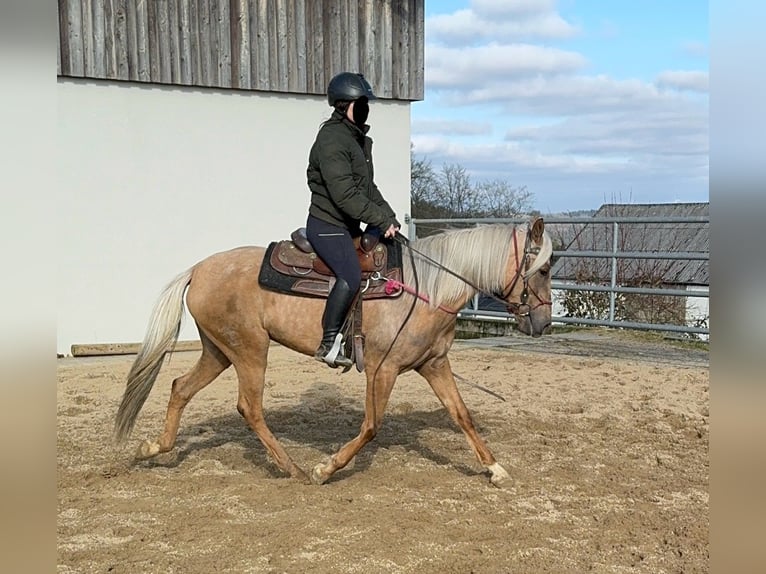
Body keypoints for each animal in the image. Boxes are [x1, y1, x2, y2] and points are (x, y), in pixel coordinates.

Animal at [114, 218, 556, 488]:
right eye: (546, 269)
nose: (544, 323)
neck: (426, 288)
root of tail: (198, 269)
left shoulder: (434, 365)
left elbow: (461, 414)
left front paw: (495, 468)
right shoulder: (383, 369)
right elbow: (372, 425)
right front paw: (325, 468)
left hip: (219, 351)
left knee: (180, 387)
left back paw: (154, 448)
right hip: (250, 351)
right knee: (249, 407)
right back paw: (291, 467)